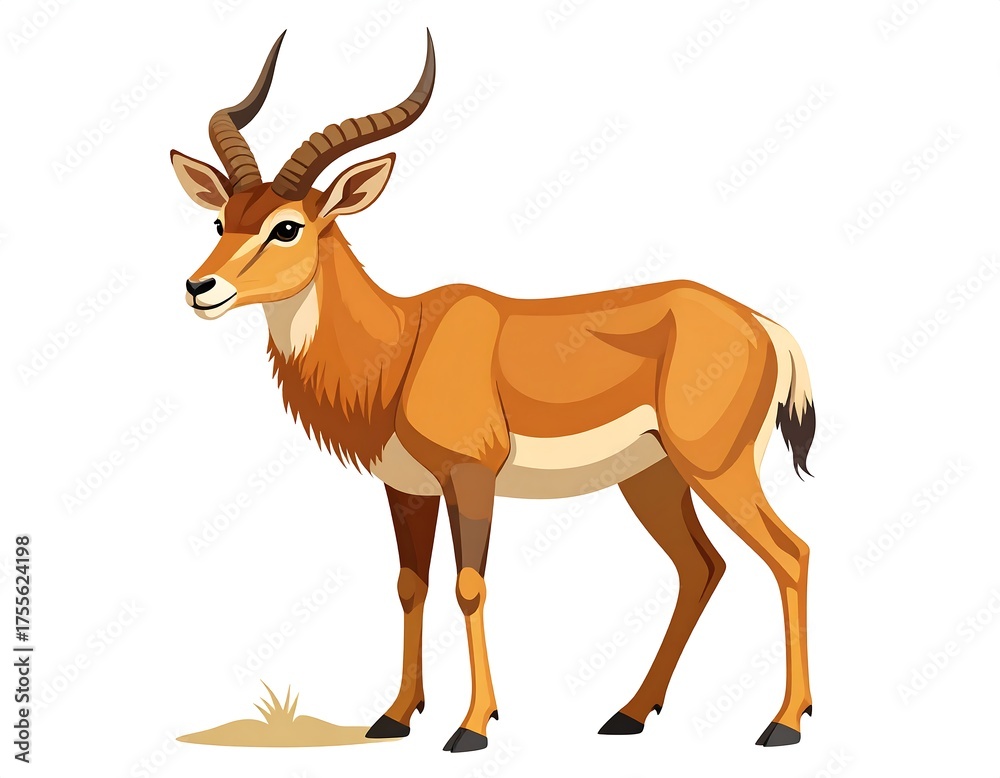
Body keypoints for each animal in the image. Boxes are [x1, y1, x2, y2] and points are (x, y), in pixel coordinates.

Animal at [172, 31, 817, 752]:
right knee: (701, 568)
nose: (200, 288)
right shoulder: (408, 489)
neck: (404, 344)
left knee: (791, 555)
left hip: (717, 470)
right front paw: (394, 717)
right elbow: (411, 586)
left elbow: (470, 585)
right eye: (220, 221)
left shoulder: (471, 476)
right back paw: (627, 714)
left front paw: (472, 727)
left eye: (287, 226)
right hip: (654, 479)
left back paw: (782, 724)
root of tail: (763, 326)